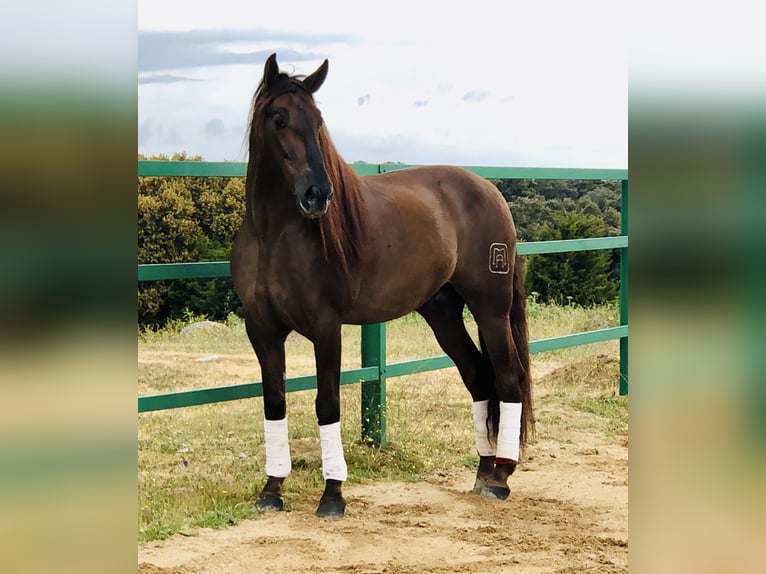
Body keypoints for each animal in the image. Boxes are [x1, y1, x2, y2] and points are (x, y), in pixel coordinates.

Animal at [230, 55, 536, 520]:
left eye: (318, 122)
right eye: (279, 117)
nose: (318, 194)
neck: (274, 236)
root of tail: (490, 190)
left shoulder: (326, 328)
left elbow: (327, 404)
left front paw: (332, 495)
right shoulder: (261, 329)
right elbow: (275, 402)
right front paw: (272, 488)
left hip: (491, 308)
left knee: (507, 376)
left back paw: (501, 476)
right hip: (442, 313)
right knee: (477, 376)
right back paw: (483, 472)